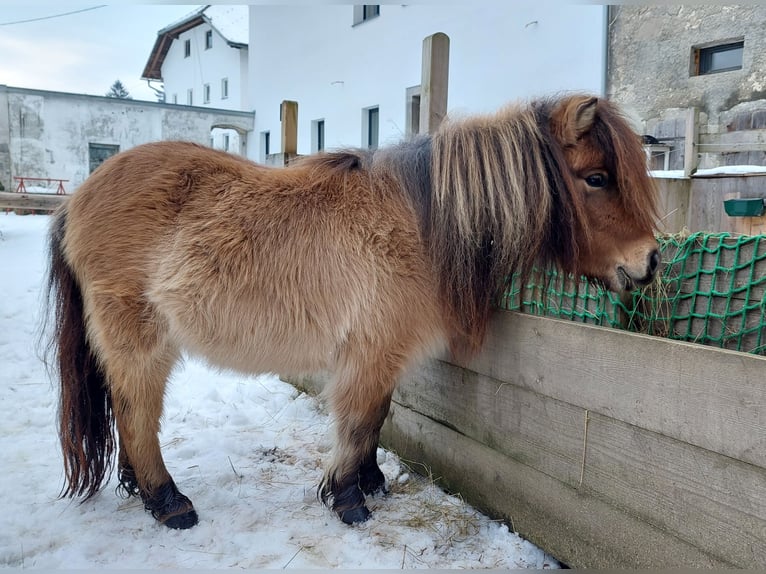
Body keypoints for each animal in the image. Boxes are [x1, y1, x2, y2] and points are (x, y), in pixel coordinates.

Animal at [45, 94, 664, 532]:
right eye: (597, 178)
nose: (650, 262)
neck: (422, 222)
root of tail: (77, 198)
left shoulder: (381, 357)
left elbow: (378, 419)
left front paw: (371, 482)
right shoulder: (369, 354)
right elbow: (361, 421)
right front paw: (348, 500)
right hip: (139, 341)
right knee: (136, 414)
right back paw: (169, 502)